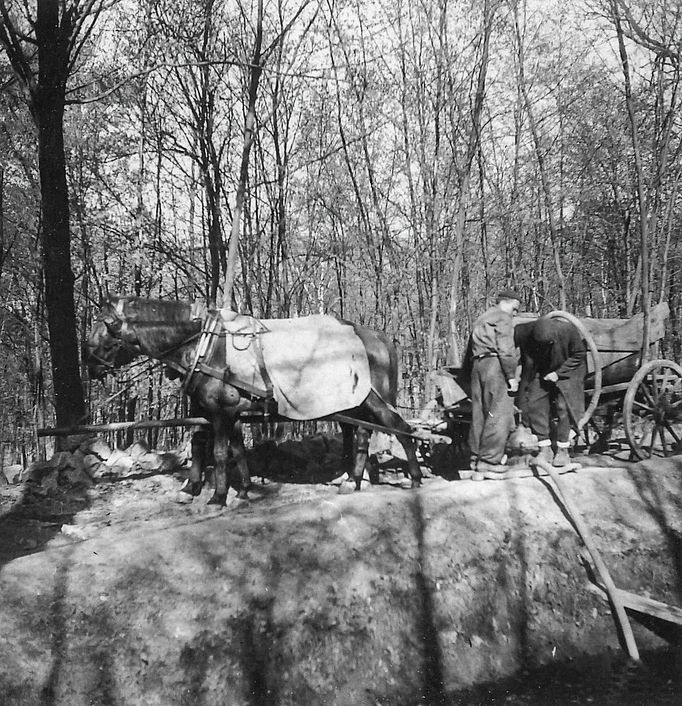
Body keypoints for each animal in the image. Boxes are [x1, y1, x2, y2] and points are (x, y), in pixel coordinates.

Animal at [84, 294, 420, 504]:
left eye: (106, 325)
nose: (90, 364)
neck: (205, 346)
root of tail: (376, 336)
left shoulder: (221, 410)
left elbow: (220, 452)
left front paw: (218, 497)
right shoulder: (211, 409)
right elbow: (216, 447)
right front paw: (218, 489)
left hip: (372, 398)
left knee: (398, 427)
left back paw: (414, 477)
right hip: (355, 402)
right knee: (362, 434)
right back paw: (354, 479)